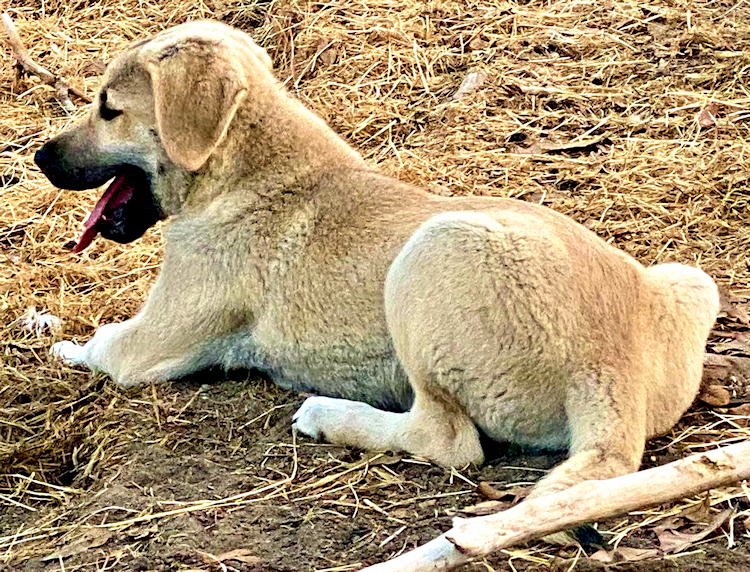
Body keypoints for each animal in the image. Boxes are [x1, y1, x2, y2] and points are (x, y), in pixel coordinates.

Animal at [36, 20, 724, 498]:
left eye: (108, 108)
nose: (40, 157)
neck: (240, 170)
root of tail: (613, 373)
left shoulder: (146, 344)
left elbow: (95, 343)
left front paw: (50, 337)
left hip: (433, 252)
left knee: (447, 441)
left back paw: (327, 414)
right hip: (691, 280)